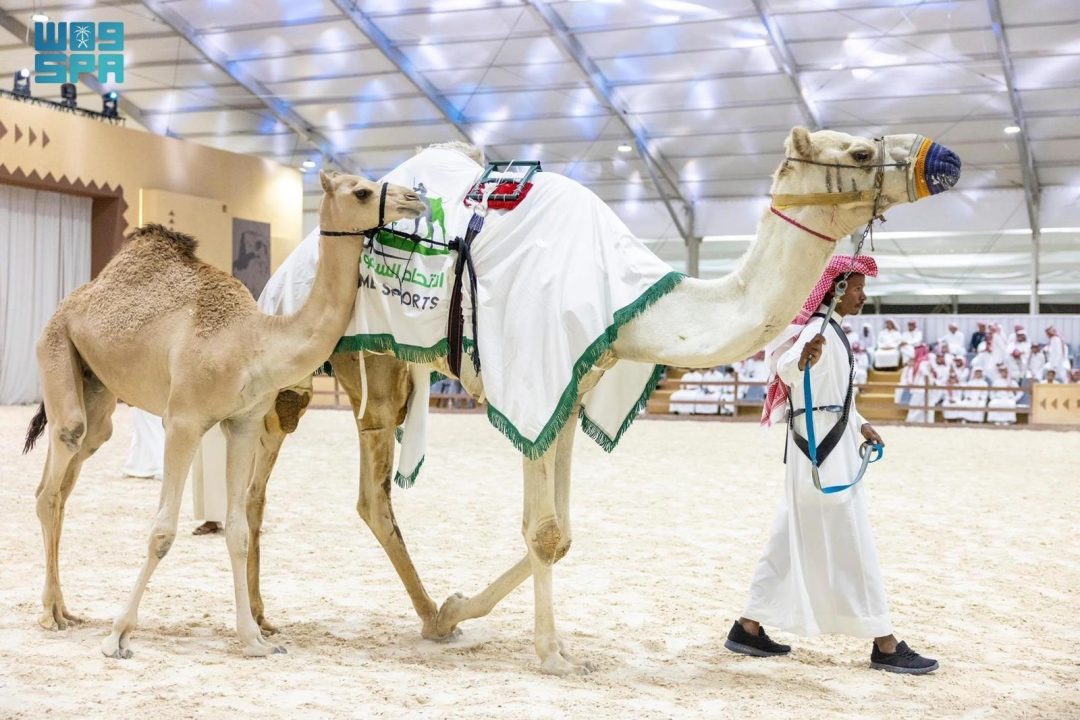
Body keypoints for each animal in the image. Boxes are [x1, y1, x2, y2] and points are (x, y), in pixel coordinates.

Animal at [22, 171, 425, 658]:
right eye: (363, 191)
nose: (415, 199)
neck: (252, 343)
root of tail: (73, 301)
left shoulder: (245, 424)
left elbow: (237, 531)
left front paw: (254, 638)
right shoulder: (183, 420)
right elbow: (162, 531)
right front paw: (118, 635)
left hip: (96, 387)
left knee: (69, 472)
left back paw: (65, 608)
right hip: (57, 347)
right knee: (55, 473)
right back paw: (49, 613)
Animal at [247, 128, 961, 674]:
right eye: (861, 151)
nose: (943, 157)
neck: (634, 306)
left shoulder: (569, 390)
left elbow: (561, 534)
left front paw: (465, 611)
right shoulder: (535, 379)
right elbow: (543, 530)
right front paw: (549, 655)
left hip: (386, 369)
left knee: (364, 486)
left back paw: (419, 617)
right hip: (324, 352)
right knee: (287, 461)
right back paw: (275, 616)